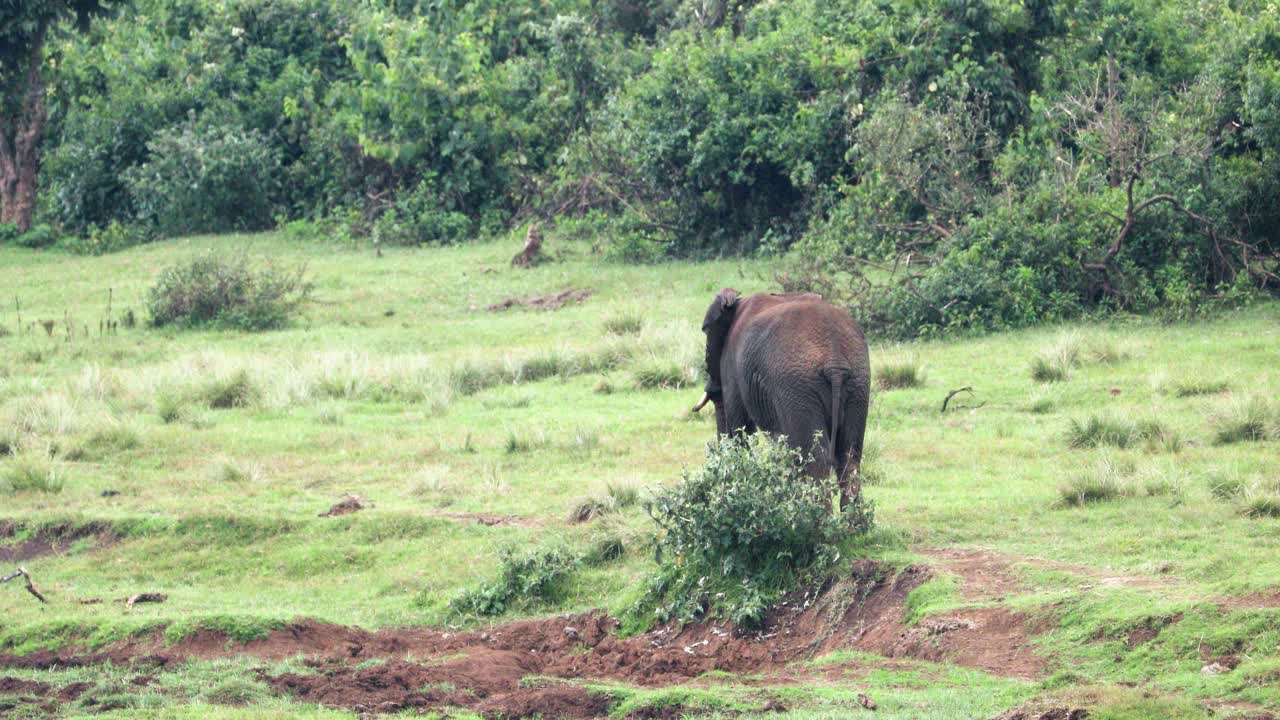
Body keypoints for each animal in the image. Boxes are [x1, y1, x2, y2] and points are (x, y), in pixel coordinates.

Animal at [691, 286, 870, 509]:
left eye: (706, 331)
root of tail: (834, 363)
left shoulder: (731, 369)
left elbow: (740, 431)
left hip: (798, 387)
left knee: (814, 460)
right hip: (857, 383)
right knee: (849, 457)